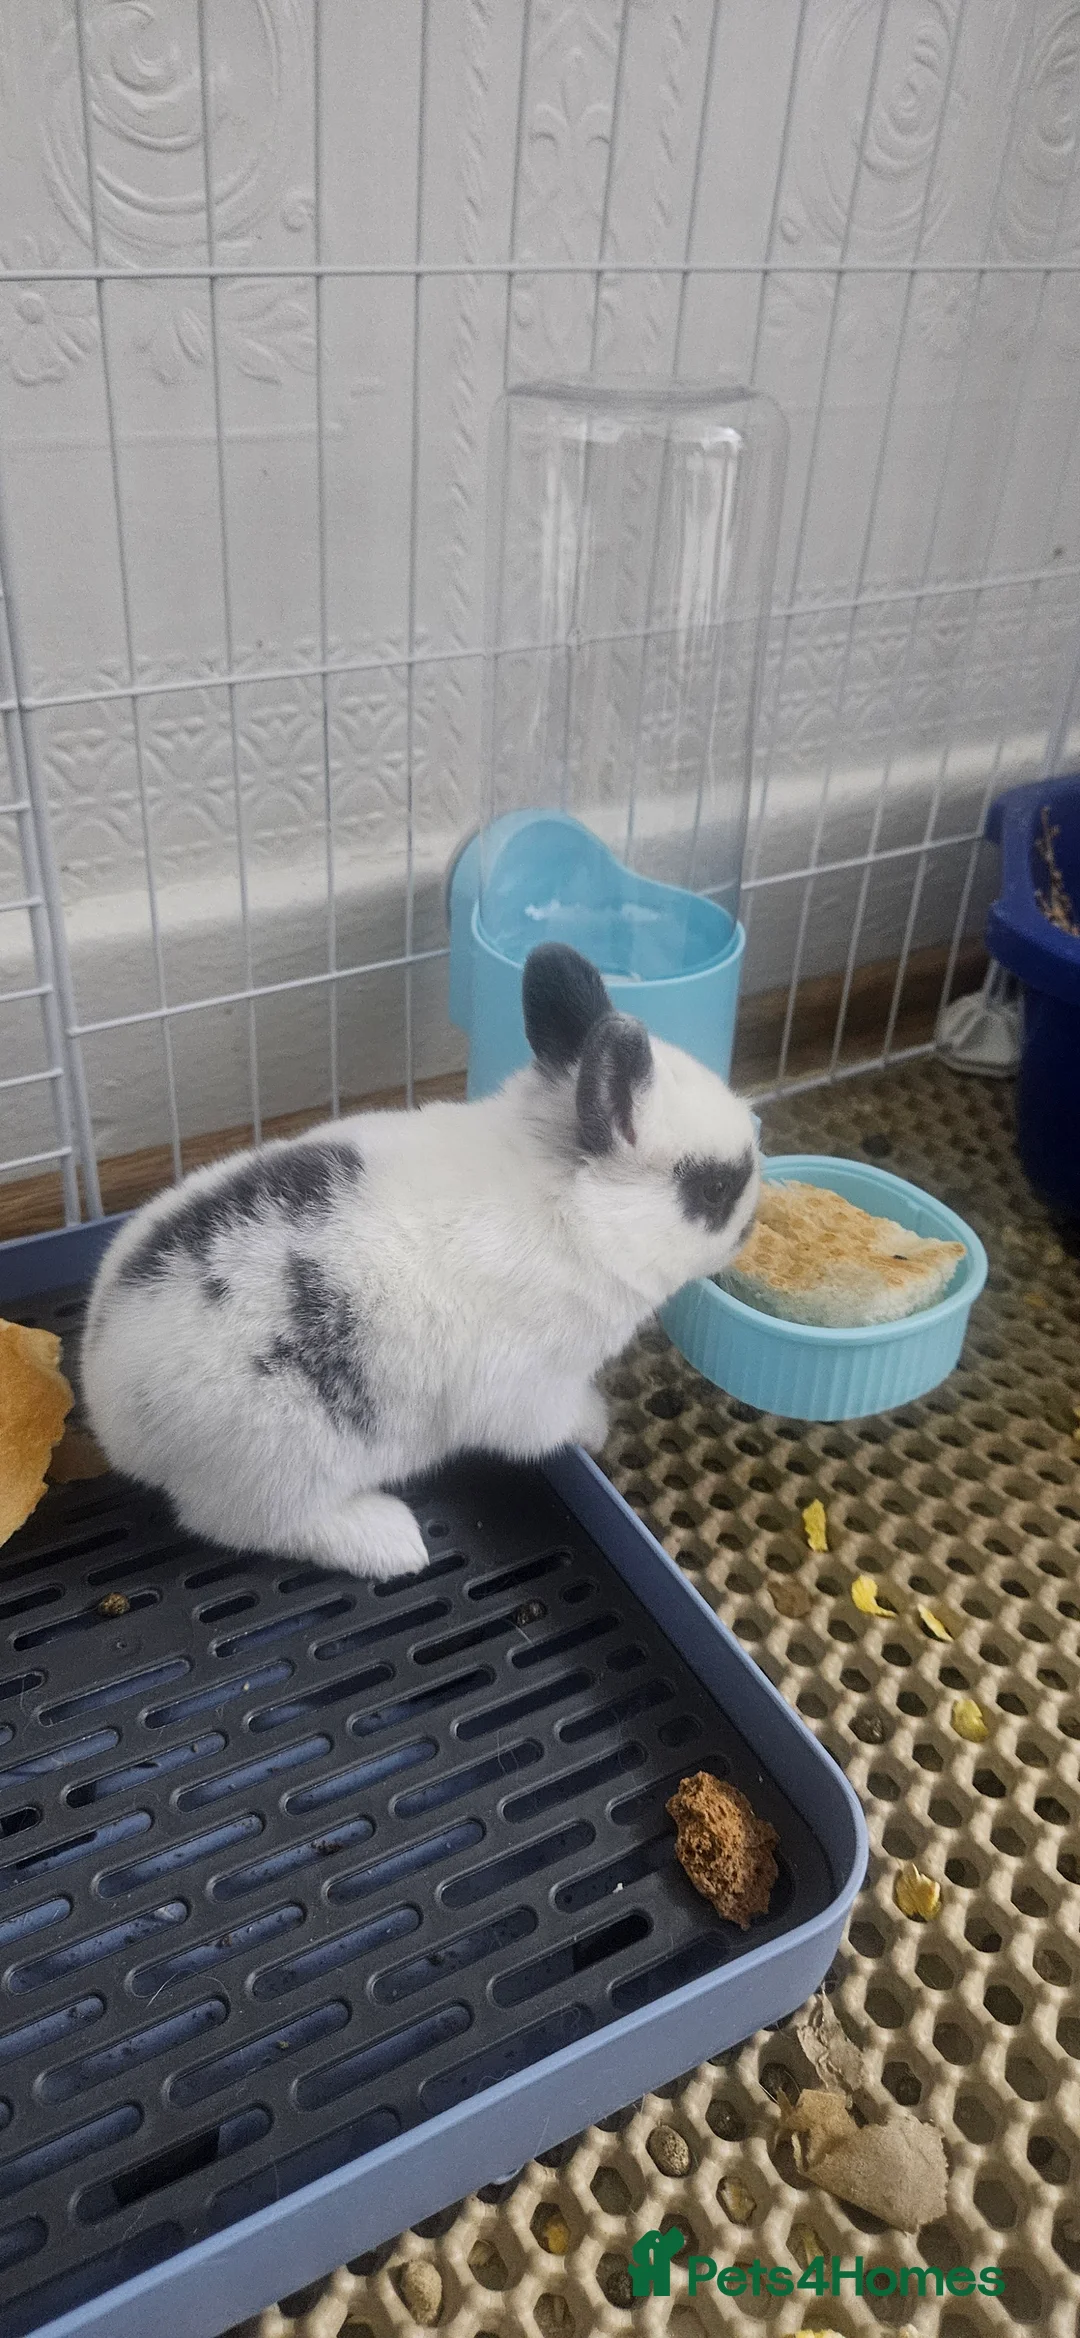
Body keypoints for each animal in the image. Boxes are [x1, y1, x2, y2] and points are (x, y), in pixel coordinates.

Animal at [83, 942, 759, 1582]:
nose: (750, 1227)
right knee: (245, 1525)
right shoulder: (532, 1388)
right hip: (281, 1463)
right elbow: (558, 1420)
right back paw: (393, 1543)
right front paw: (597, 1426)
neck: (569, 1206)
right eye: (713, 1189)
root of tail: (106, 1401)